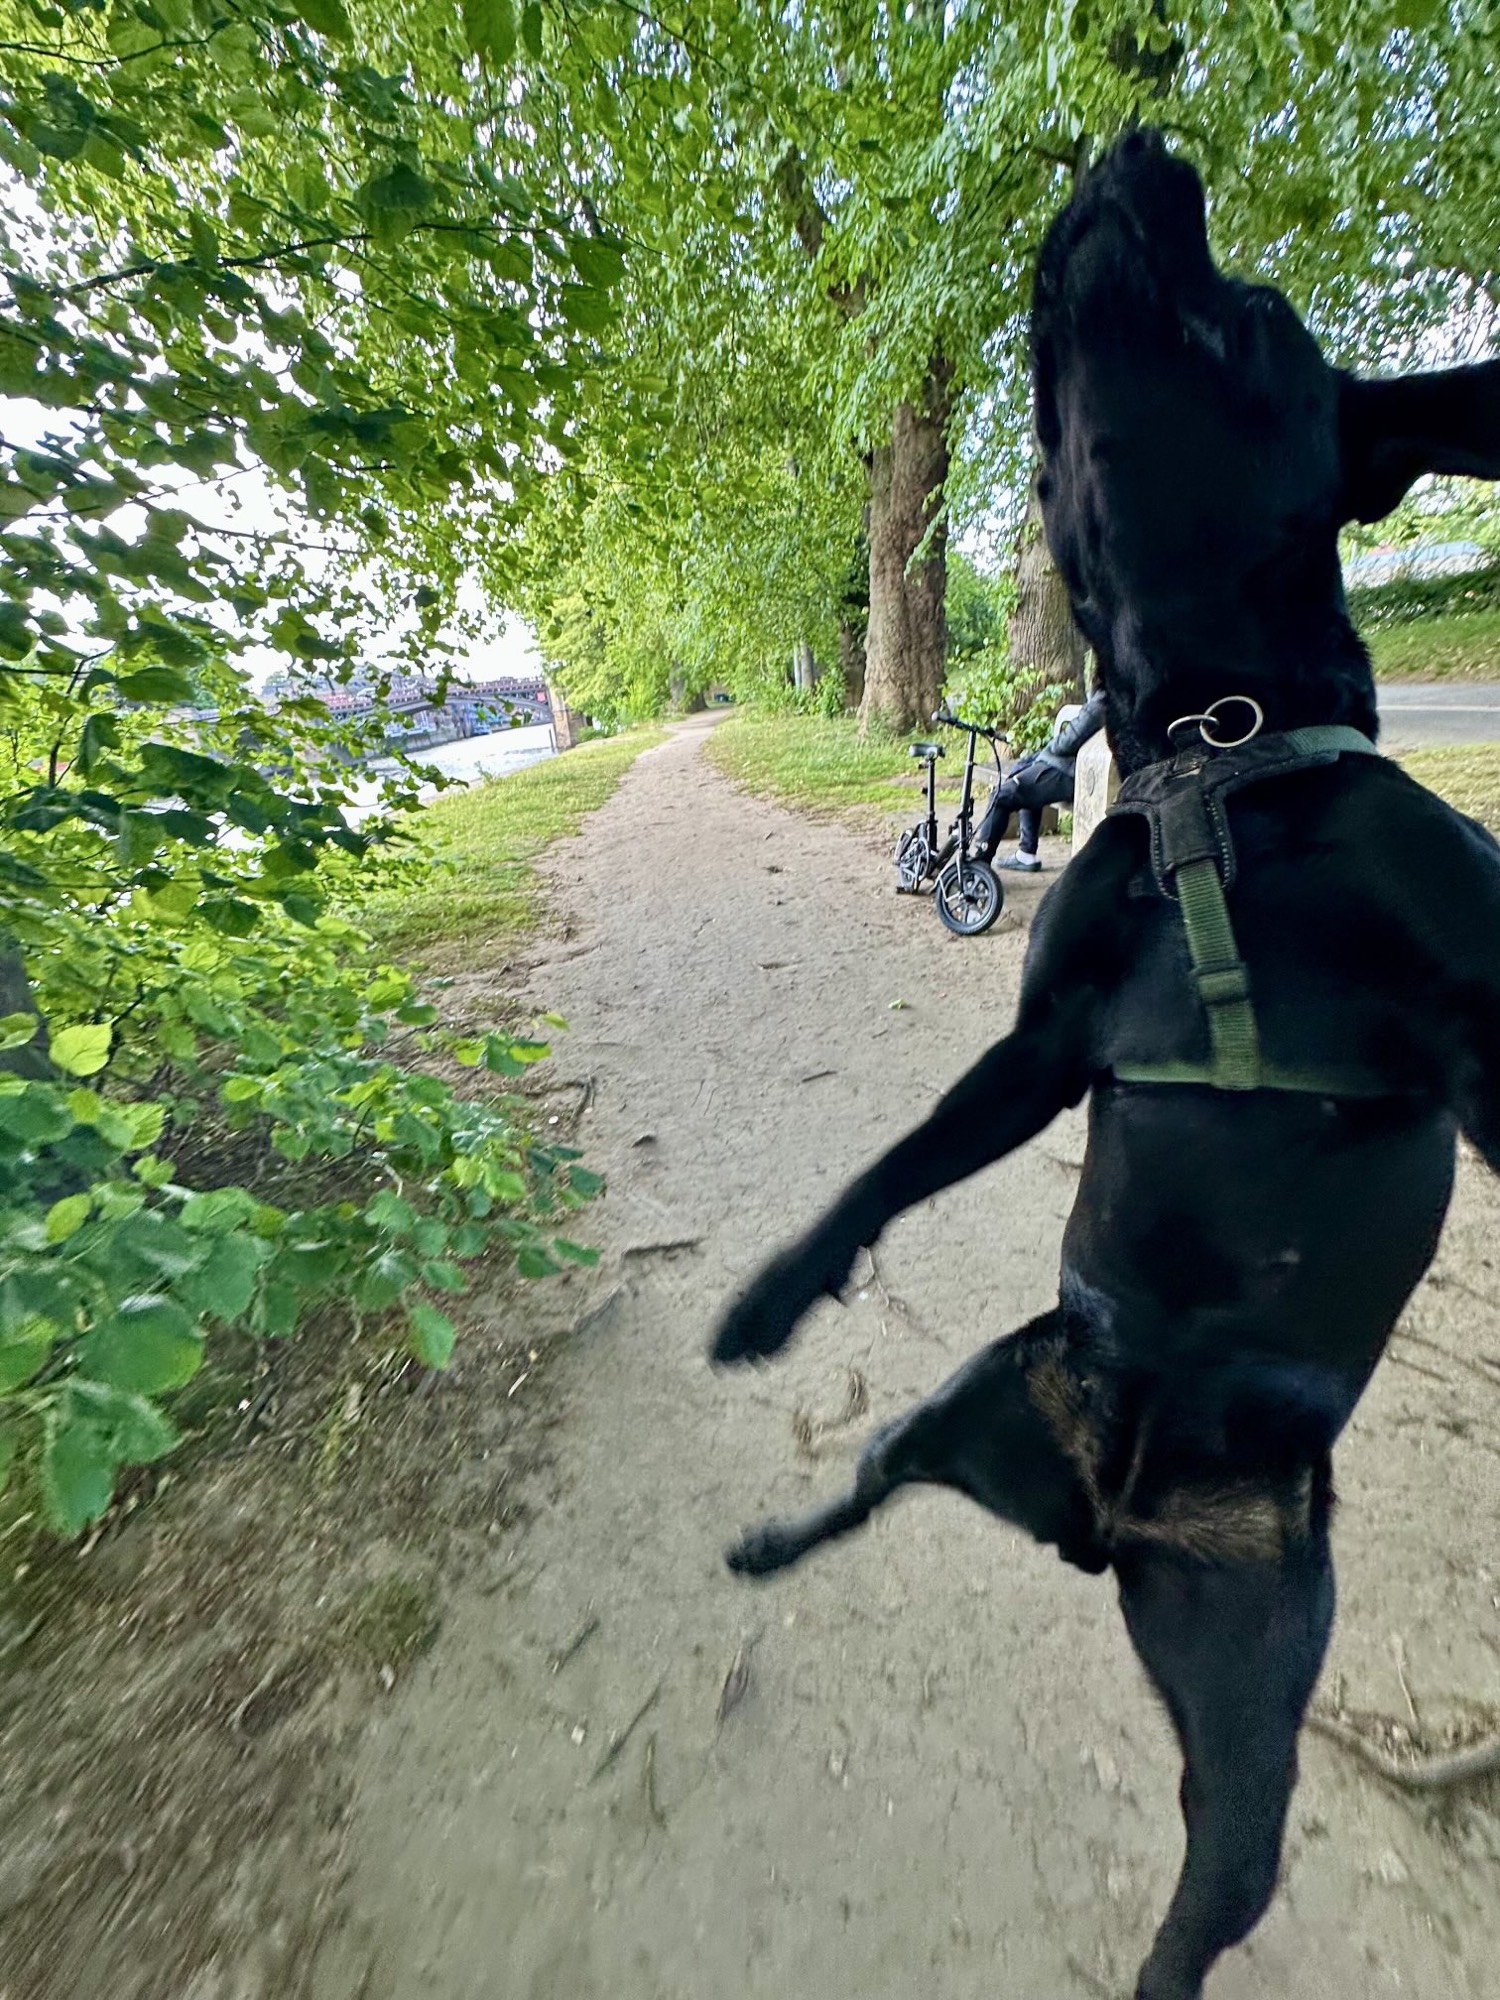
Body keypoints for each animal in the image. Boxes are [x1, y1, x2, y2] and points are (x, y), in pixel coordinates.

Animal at [711, 129, 1500, 2000]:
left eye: (1248, 316)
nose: (1138, 142)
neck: (1216, 754)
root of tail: (1104, 1523)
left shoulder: (1477, 1019)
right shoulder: (1044, 1050)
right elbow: (890, 1166)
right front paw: (770, 1297)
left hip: (1252, 1744)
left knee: (1192, 1922)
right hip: (953, 1412)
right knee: (863, 1487)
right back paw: (768, 1540)